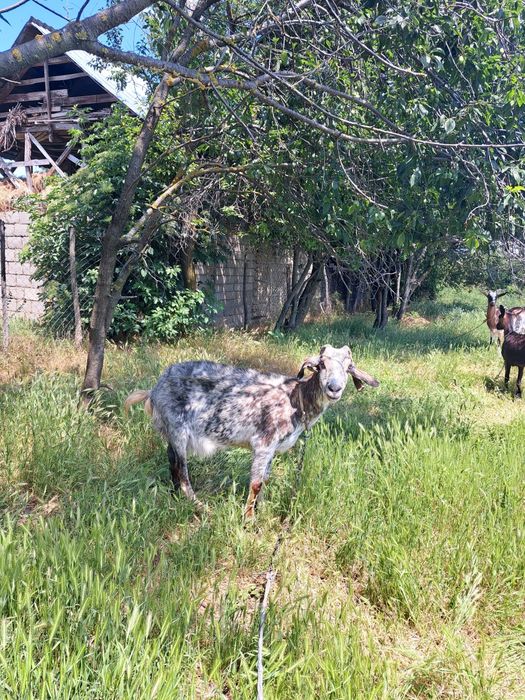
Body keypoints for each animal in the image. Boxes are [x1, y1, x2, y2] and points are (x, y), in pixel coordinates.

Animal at [125, 344, 379, 517]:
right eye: (321, 364)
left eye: (348, 367)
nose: (334, 388)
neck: (296, 399)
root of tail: (153, 390)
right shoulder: (264, 442)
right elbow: (256, 483)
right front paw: (248, 518)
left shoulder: (273, 448)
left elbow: (265, 479)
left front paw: (263, 509)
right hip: (177, 427)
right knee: (181, 469)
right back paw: (200, 507)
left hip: (171, 432)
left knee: (171, 461)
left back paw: (175, 495)